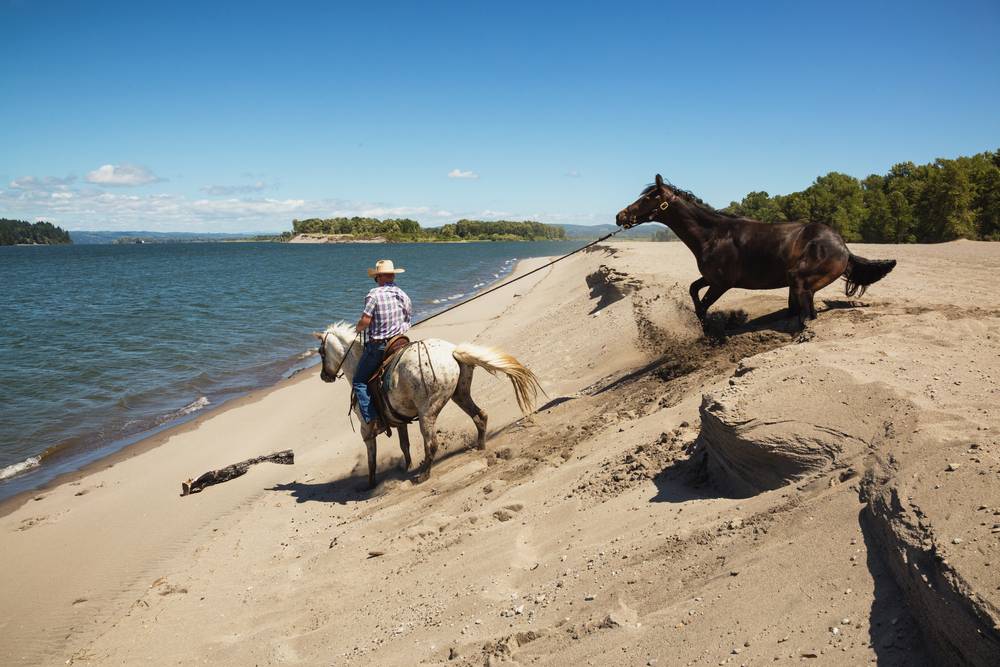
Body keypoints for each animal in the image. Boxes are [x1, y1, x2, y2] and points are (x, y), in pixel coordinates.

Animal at [616, 174, 900, 328]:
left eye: (649, 197)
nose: (620, 216)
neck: (713, 234)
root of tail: (843, 247)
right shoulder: (710, 278)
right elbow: (693, 291)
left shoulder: (722, 283)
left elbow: (703, 305)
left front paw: (710, 331)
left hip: (800, 280)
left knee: (808, 310)